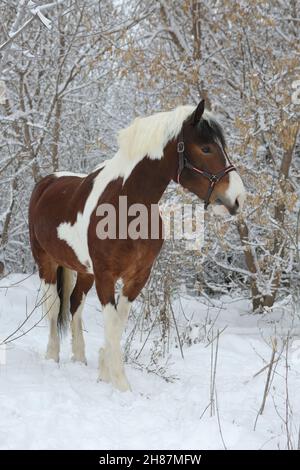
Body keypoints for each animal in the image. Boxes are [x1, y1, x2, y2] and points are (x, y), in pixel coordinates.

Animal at [28, 101, 246, 392]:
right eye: (206, 148)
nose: (238, 198)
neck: (126, 206)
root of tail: (47, 181)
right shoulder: (106, 276)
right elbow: (112, 323)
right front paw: (121, 384)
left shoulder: (137, 277)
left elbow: (119, 322)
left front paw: (105, 372)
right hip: (46, 262)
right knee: (53, 306)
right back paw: (52, 357)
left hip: (84, 272)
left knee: (75, 305)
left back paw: (79, 359)